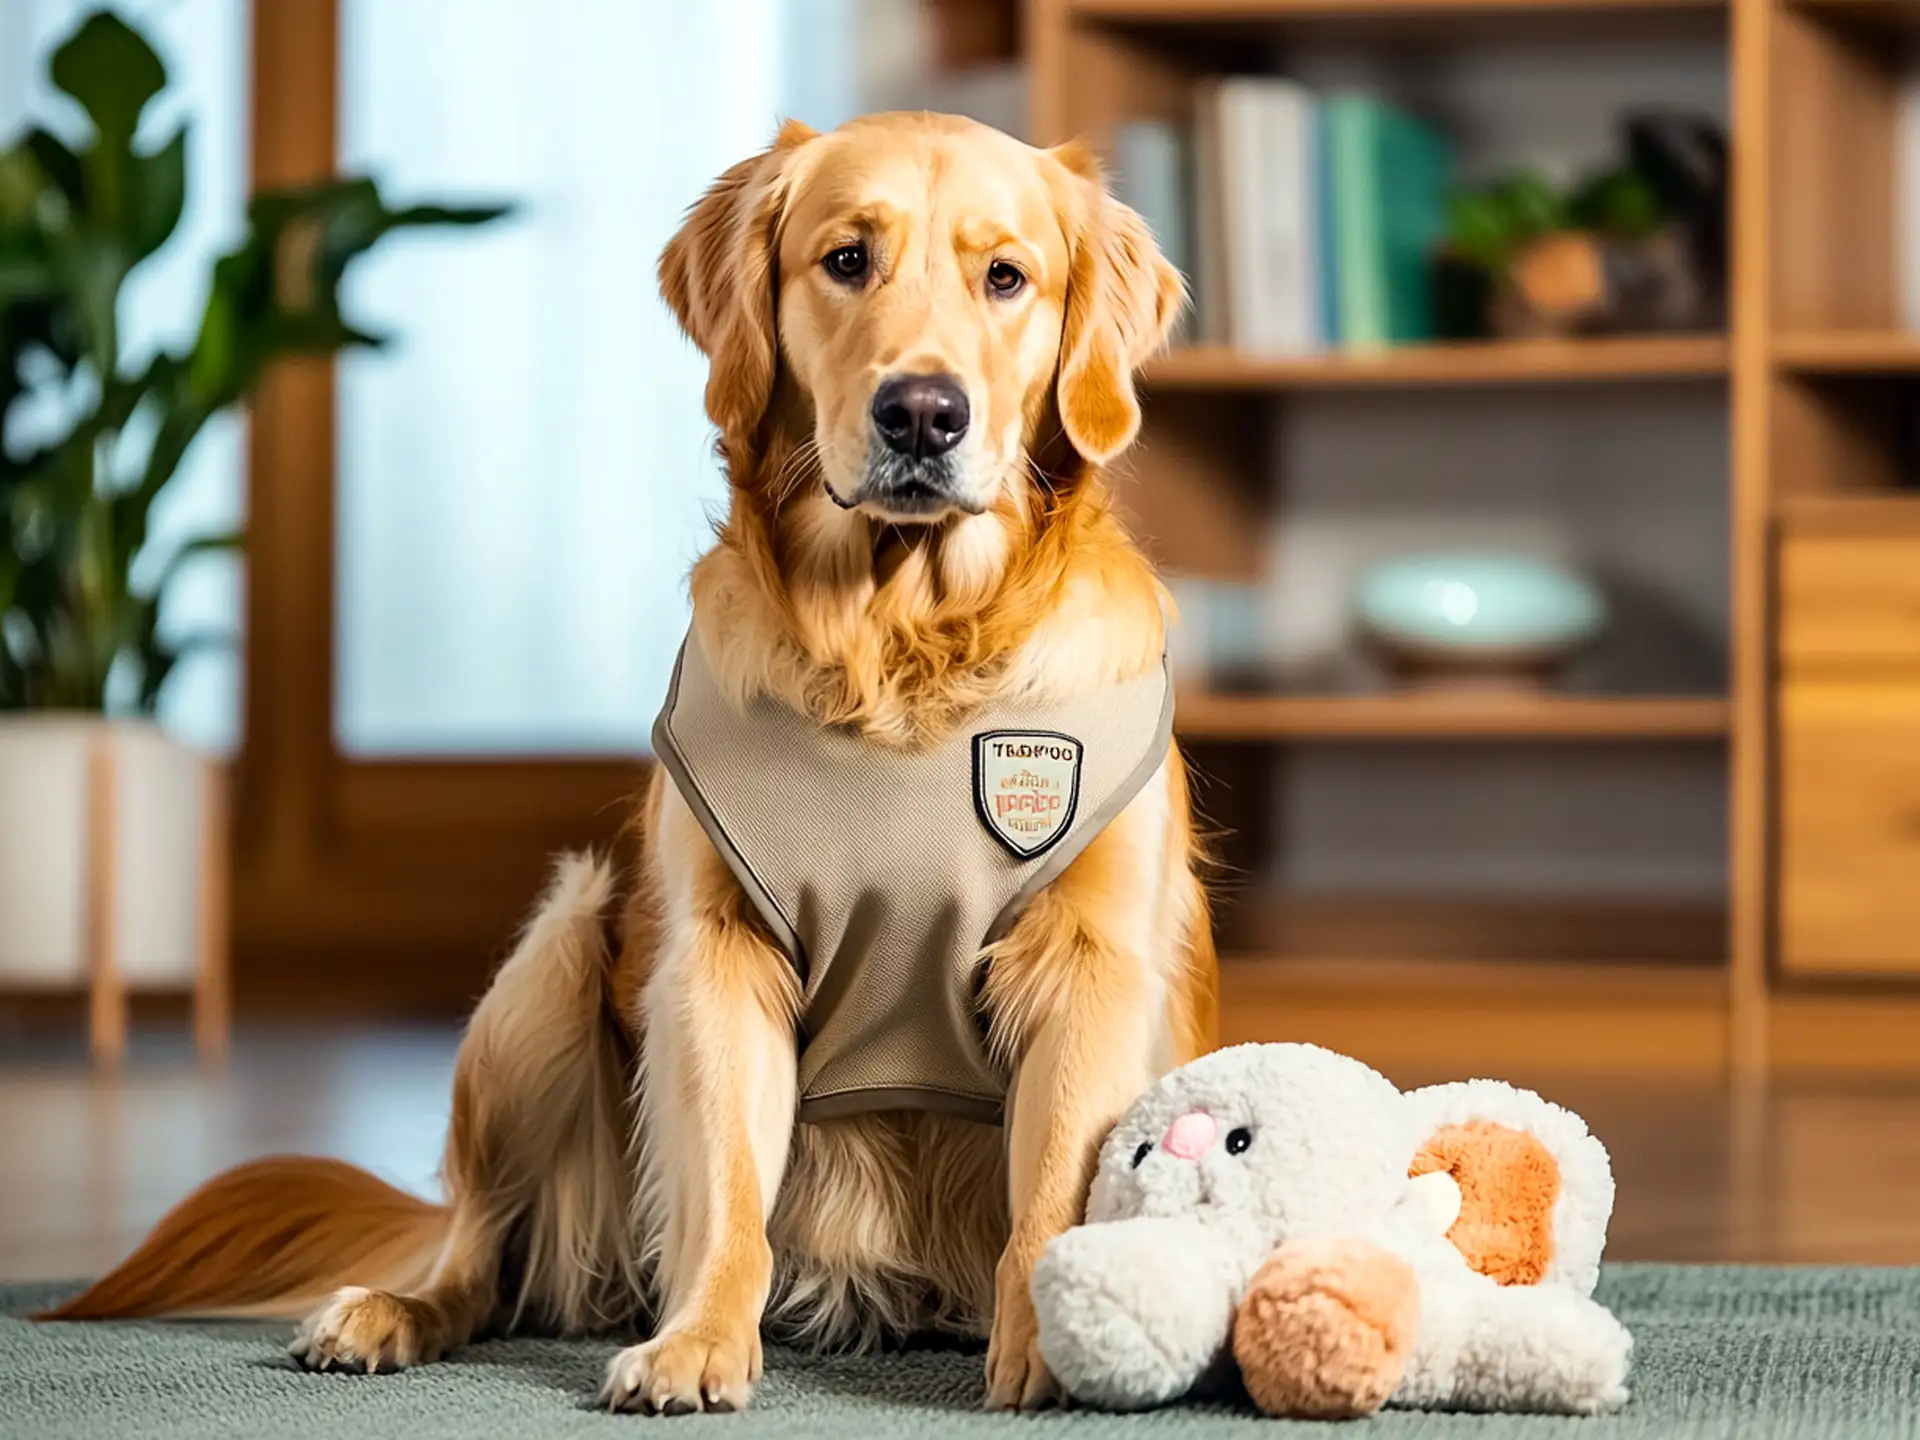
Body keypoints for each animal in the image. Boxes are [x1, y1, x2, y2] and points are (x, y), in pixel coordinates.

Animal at [48, 115, 1213, 1420]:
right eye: (847, 260)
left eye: (1007, 278)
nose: (923, 413)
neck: (898, 646)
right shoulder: (716, 950)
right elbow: (728, 1187)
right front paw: (698, 1339)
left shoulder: (1090, 962)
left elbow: (1053, 1182)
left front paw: (1058, 1346)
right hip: (558, 951)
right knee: (479, 1251)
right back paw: (389, 1315)